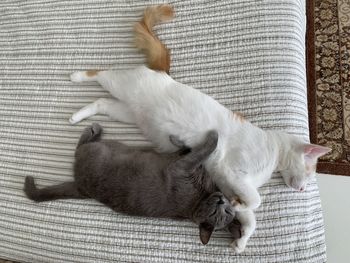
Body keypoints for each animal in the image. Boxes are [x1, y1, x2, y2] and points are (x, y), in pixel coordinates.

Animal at [23, 124, 239, 245]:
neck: (201, 197)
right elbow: (195, 149)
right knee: (79, 147)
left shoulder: (181, 167)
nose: (222, 202)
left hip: (99, 151)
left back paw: (93, 129)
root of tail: (81, 186)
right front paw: (185, 138)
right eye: (220, 212)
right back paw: (94, 128)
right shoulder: (180, 164)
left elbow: (199, 150)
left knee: (79, 149)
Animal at [67, 66, 330, 254]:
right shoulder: (232, 172)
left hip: (126, 112)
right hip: (123, 86)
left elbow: (250, 216)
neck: (274, 151)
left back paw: (76, 116)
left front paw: (241, 239)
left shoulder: (228, 183)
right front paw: (241, 208)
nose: (303, 188)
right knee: (101, 73)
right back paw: (77, 76)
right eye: (310, 172)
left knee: (101, 102)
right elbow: (256, 201)